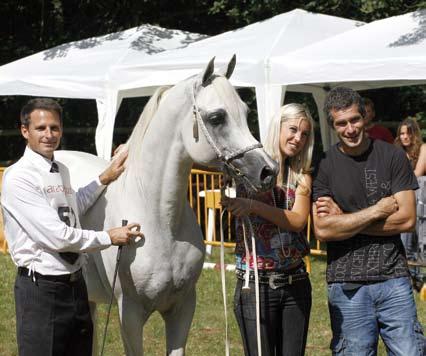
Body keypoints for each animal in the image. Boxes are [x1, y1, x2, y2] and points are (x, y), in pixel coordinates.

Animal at [55, 57, 276, 354]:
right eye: (217, 117)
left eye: (245, 110)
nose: (268, 171)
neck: (160, 221)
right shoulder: (129, 314)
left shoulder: (183, 308)